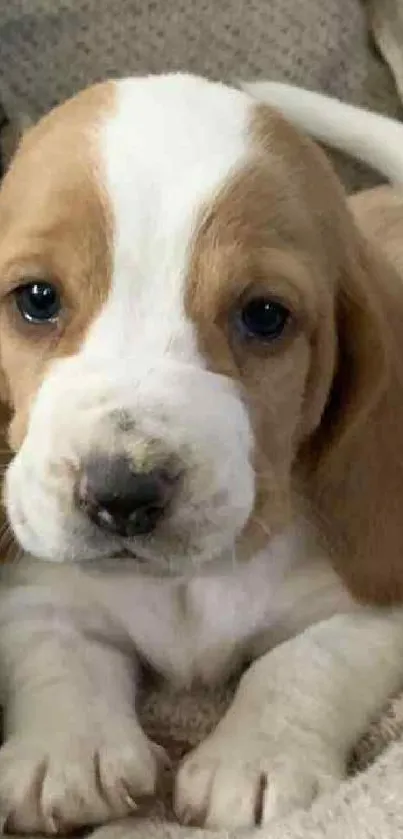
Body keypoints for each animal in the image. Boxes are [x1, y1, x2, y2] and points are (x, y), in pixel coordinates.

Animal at [0, 75, 403, 836]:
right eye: (36, 298)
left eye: (265, 316)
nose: (121, 496)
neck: (184, 583)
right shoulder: (37, 591)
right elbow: (58, 654)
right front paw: (67, 753)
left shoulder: (374, 609)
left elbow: (304, 662)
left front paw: (256, 760)